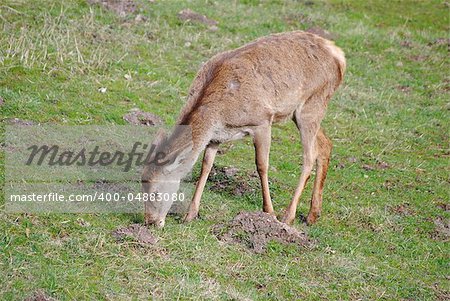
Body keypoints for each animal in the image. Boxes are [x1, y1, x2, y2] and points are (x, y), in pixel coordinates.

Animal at [142, 30, 346, 227]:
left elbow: (262, 165)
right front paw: (190, 214)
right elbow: (205, 166)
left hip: (312, 104)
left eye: (156, 192)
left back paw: (288, 216)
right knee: (325, 144)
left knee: (309, 156)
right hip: (301, 111)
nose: (150, 222)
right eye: (142, 186)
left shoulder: (262, 120)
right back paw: (313, 215)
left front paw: (269, 212)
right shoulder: (216, 137)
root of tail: (339, 56)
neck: (220, 114)